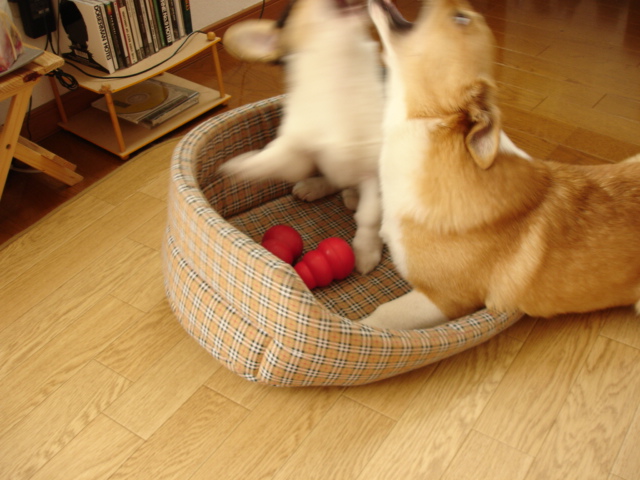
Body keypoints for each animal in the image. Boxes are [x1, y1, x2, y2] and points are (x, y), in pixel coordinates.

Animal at [220, 0, 385, 274]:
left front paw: (365, 251)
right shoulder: (299, 151)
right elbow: (273, 158)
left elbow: (369, 216)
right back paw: (315, 187)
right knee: (335, 180)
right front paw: (240, 166)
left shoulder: (374, 172)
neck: (339, 71)